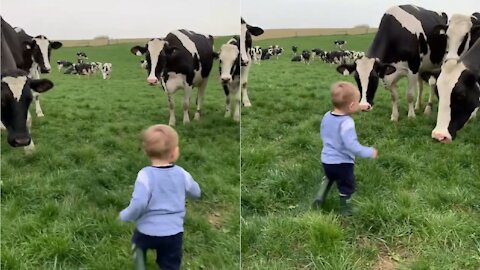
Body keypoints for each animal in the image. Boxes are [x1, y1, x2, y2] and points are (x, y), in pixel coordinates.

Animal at [1, 18, 54, 154]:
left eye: (49, 50)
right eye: (36, 49)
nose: (21, 140)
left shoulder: (33, 72)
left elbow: (35, 95)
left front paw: (30, 148)